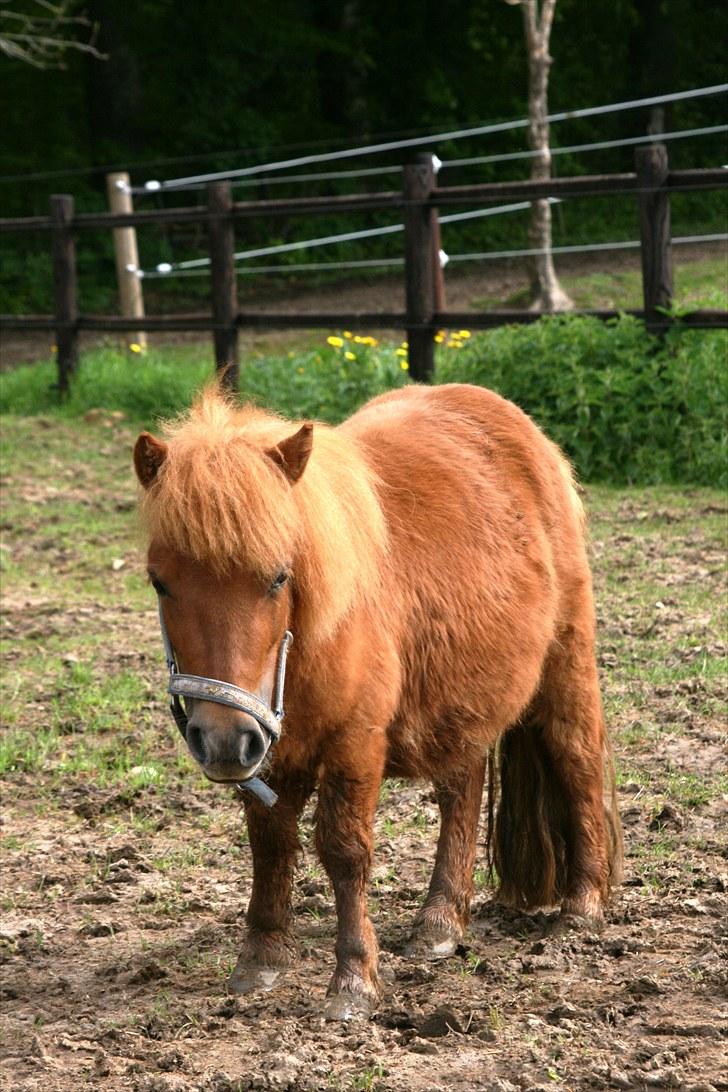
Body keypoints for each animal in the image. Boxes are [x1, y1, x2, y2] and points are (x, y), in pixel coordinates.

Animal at [133, 380, 624, 1017]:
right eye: (160, 582)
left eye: (278, 577)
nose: (219, 739)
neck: (308, 642)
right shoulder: (270, 746)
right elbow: (270, 842)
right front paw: (261, 958)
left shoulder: (354, 744)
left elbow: (344, 851)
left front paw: (353, 979)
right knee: (462, 790)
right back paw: (440, 922)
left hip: (565, 667)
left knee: (577, 761)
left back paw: (582, 907)